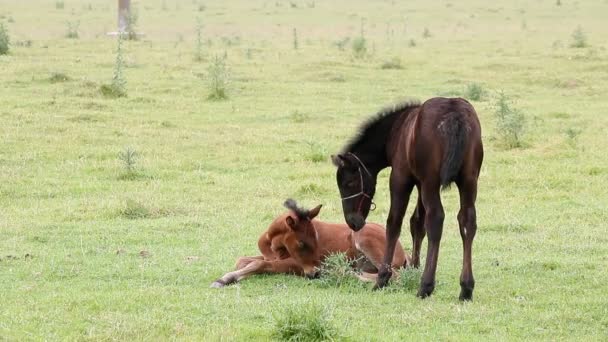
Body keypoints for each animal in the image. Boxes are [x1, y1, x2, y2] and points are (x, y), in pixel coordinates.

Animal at [211, 199, 410, 288]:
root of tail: (403, 252)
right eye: (301, 243)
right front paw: (229, 276)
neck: (273, 246)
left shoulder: (295, 265)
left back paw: (344, 273)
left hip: (363, 237)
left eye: (316, 239)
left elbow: (259, 264)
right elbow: (243, 260)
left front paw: (223, 279)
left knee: (392, 276)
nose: (315, 273)